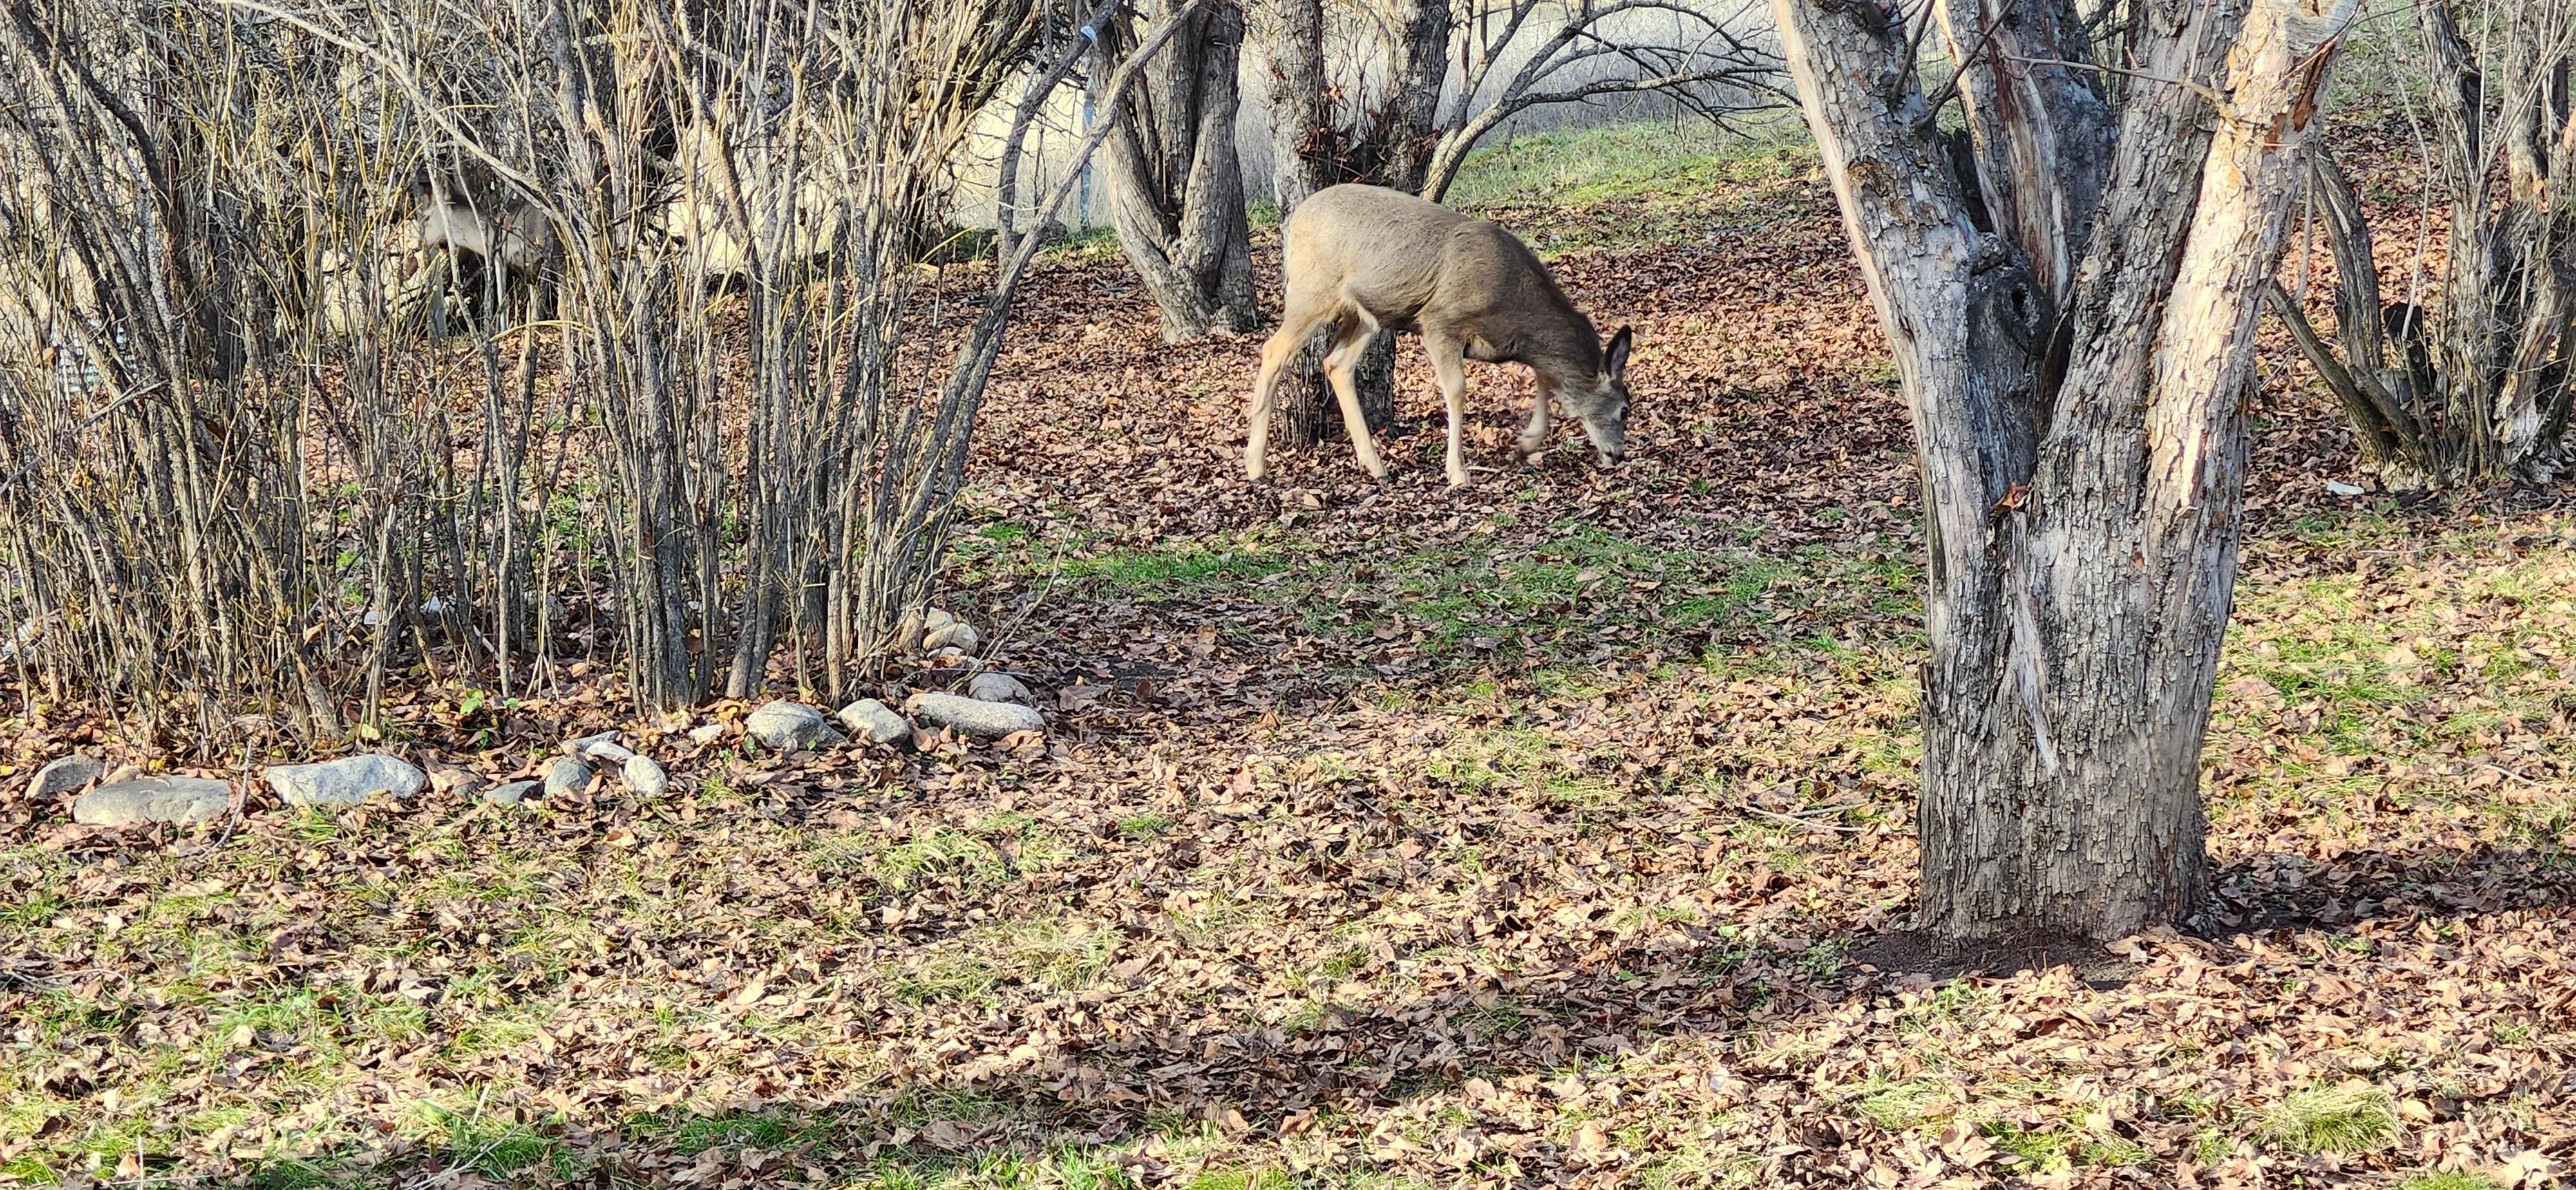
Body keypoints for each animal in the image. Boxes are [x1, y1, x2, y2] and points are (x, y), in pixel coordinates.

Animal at [1243, 183, 1634, 488]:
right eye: (1625, 410)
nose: (1618, 454)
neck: (1513, 304)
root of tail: (1296, 219)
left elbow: (1544, 380)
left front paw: (1526, 444)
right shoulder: (1440, 322)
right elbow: (1458, 392)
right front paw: (1458, 473)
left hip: (1366, 314)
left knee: (1337, 363)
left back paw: (1376, 466)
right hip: (1312, 291)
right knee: (1274, 350)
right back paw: (1255, 467)